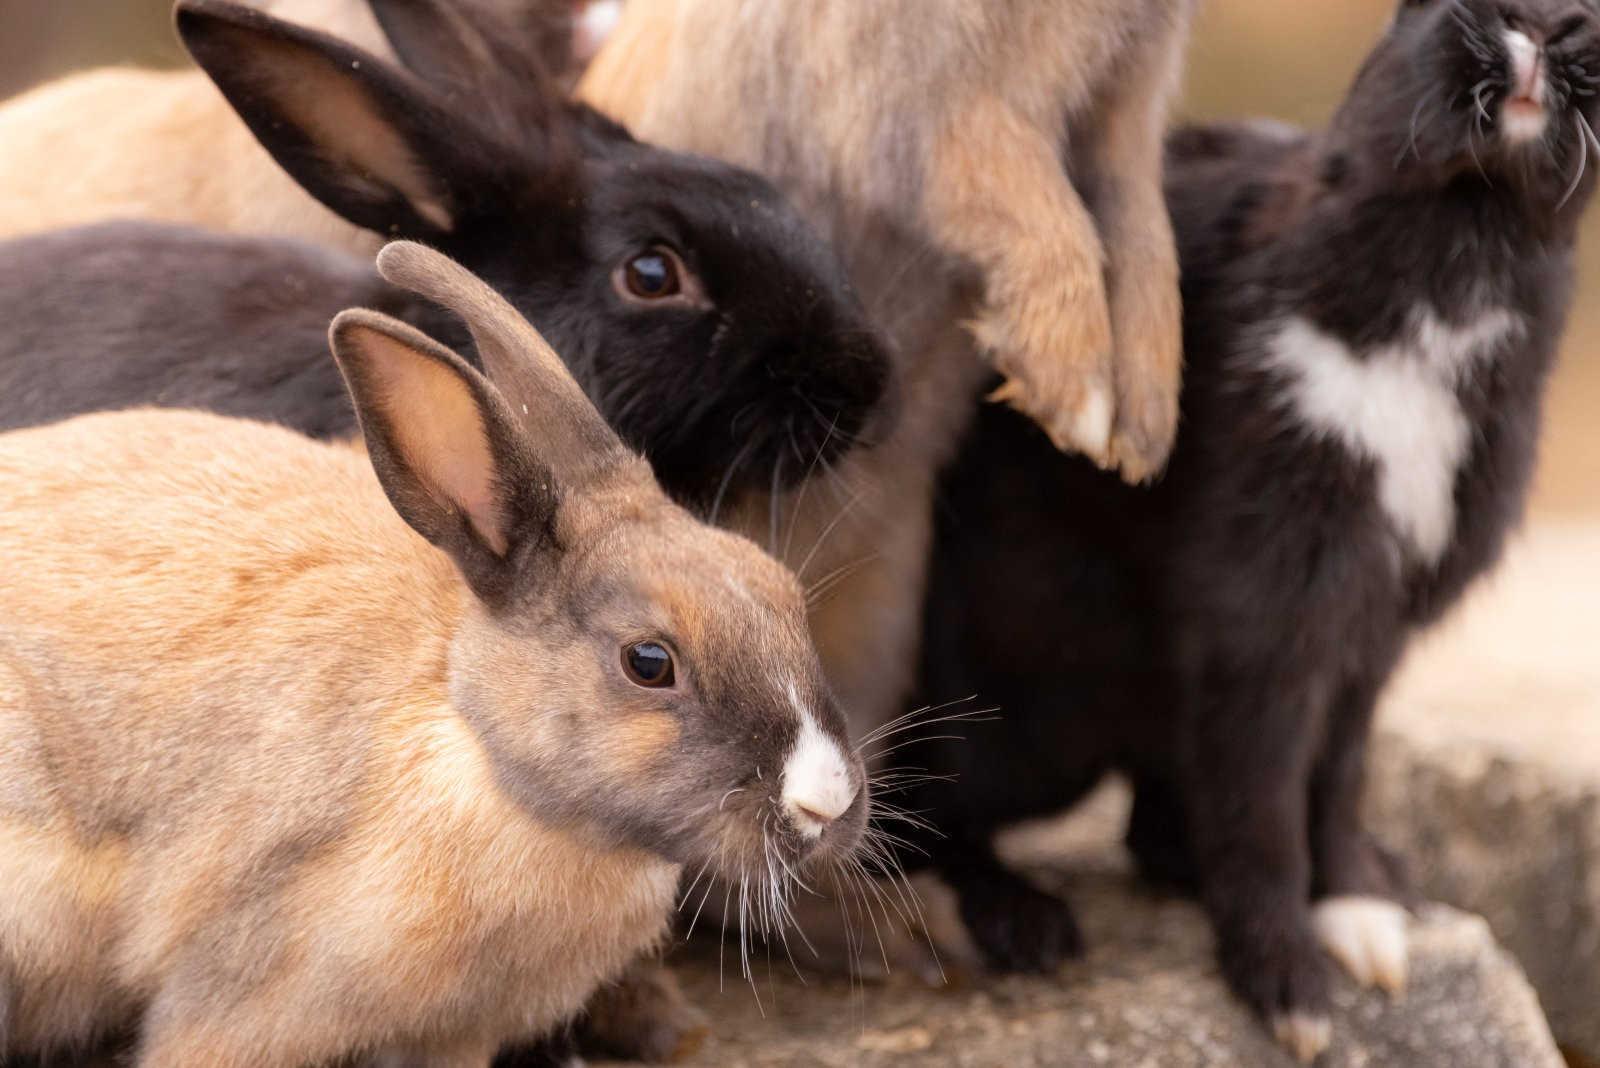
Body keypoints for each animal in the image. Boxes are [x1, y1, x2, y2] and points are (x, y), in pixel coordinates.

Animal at [0, 241, 870, 1068]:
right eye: (649, 662)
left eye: (783, 588)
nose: (828, 803)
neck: (477, 747)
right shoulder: (239, 998)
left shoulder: (451, 1036)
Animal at [902, 0, 1600, 1048]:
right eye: (1430, 8)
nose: (1547, 23)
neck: (1463, 250)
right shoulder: (1266, 605)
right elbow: (1265, 797)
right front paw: (1292, 990)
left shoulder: (1370, 629)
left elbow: (1339, 776)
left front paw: (1361, 912)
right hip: (1027, 710)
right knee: (924, 809)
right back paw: (1026, 922)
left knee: (1147, 815)